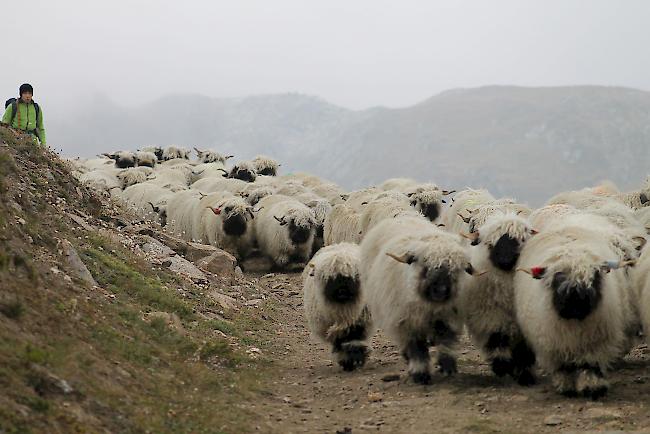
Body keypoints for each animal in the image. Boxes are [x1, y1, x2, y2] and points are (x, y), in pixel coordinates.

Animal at [302, 242, 368, 372]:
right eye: (331, 279)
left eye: (350, 277)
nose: (342, 291)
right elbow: (339, 341)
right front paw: (347, 361)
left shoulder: (358, 322)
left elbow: (354, 338)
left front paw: (355, 359)